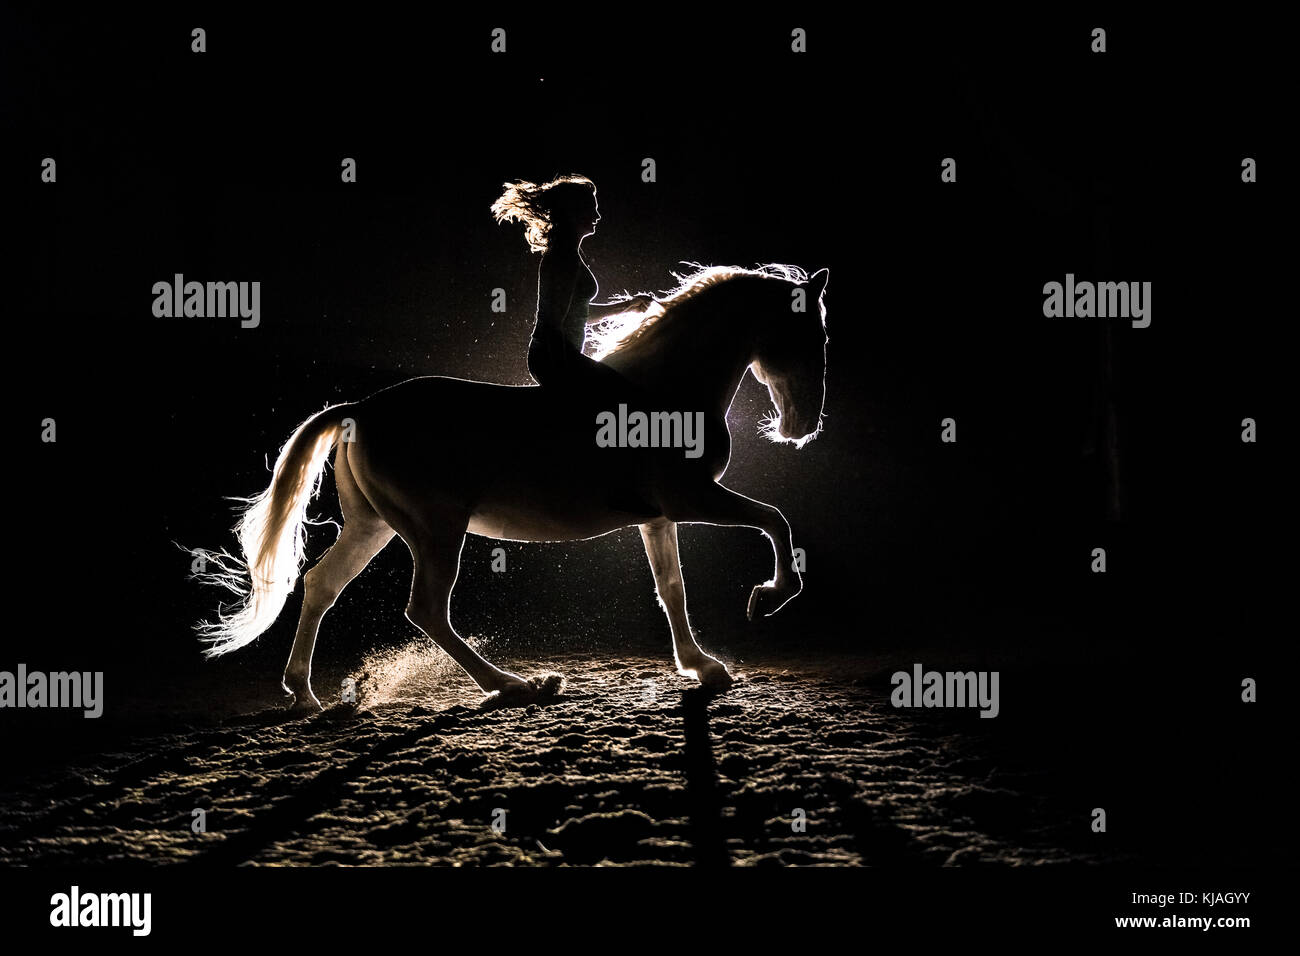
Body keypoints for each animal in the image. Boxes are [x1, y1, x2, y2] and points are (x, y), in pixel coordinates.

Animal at [196, 261, 826, 712]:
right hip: (436, 530)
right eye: (809, 335)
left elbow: (672, 590)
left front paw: (703, 667)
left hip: (375, 527)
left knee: (322, 585)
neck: (666, 394)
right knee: (427, 610)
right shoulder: (690, 498)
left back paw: (305, 696)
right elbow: (775, 520)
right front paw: (769, 597)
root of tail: (361, 409)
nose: (802, 428)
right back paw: (516, 686)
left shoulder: (658, 515)